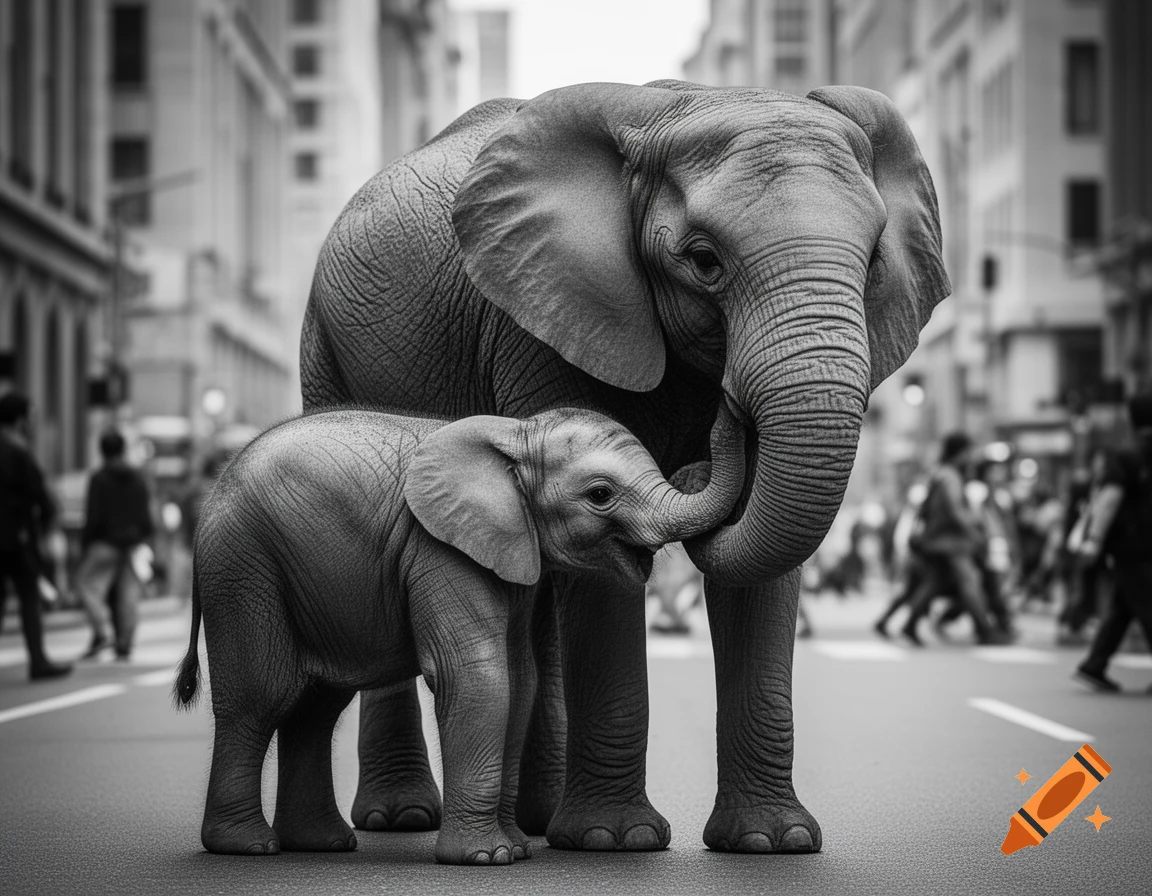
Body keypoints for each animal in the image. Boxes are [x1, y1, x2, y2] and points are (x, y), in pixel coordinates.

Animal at [173, 404, 743, 864]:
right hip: (243, 567)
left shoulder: (508, 548)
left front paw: (515, 850)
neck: (517, 434)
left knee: (316, 706)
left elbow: (521, 679)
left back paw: (321, 845)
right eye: (600, 494)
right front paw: (486, 858)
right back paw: (247, 847)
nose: (725, 416)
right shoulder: (438, 548)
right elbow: (476, 675)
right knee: (263, 695)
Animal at [299, 80, 950, 853]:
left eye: (874, 260)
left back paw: (539, 820)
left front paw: (772, 843)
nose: (728, 414)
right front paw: (619, 840)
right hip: (324, 348)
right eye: (704, 260)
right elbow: (596, 558)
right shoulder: (543, 315)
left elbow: (760, 577)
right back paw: (404, 820)